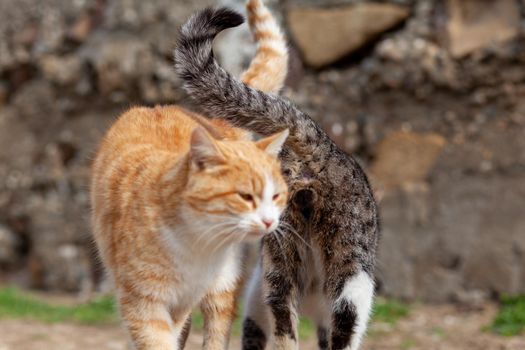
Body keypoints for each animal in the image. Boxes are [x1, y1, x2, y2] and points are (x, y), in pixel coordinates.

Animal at [89, 0, 286, 348]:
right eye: (245, 197)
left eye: (275, 196)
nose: (268, 221)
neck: (193, 243)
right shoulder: (144, 303)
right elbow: (160, 340)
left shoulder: (183, 300)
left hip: (220, 286)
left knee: (217, 324)